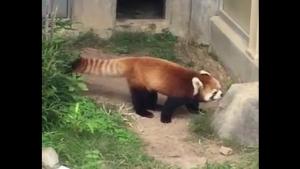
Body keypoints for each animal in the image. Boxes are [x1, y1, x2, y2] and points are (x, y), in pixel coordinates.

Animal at [72, 55, 223, 123]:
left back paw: (154, 106)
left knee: (151, 95)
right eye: (214, 92)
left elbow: (192, 102)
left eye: (220, 88)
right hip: (138, 81)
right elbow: (170, 105)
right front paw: (165, 118)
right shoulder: (180, 92)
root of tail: (133, 59)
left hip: (149, 83)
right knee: (138, 98)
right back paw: (144, 112)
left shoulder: (191, 94)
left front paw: (197, 110)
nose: (222, 95)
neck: (192, 79)